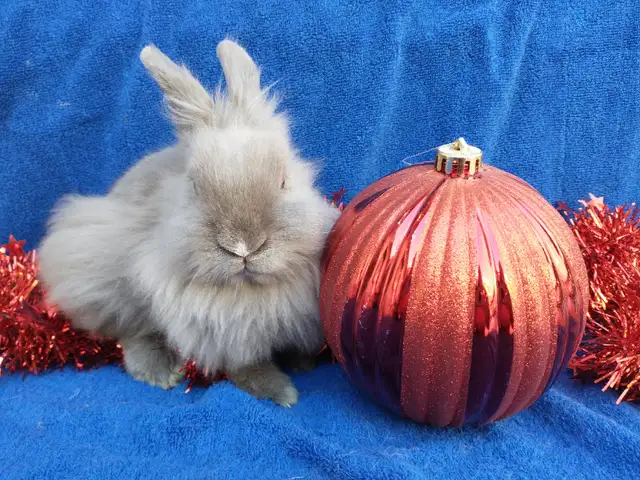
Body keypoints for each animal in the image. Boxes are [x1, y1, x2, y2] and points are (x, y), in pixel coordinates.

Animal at [37, 40, 341, 407]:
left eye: (283, 181)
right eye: (194, 186)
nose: (243, 247)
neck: (249, 292)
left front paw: (303, 362)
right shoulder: (222, 331)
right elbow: (246, 366)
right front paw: (280, 392)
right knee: (129, 330)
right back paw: (160, 372)